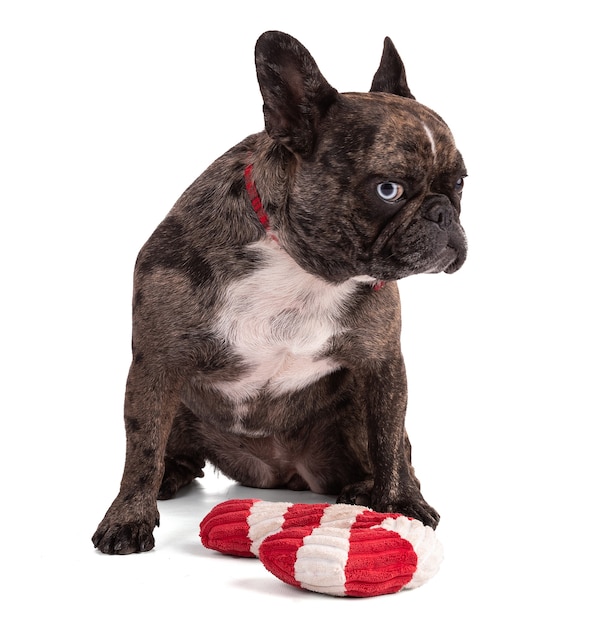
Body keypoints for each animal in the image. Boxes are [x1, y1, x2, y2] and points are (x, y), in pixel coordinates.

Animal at [92, 31, 468, 552]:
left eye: (460, 184)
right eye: (387, 189)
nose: (443, 213)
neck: (302, 268)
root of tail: (280, 475)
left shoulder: (382, 366)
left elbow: (390, 441)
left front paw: (400, 503)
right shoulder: (157, 364)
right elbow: (143, 446)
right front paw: (128, 518)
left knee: (397, 446)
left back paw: (370, 487)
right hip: (183, 405)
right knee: (173, 451)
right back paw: (170, 475)